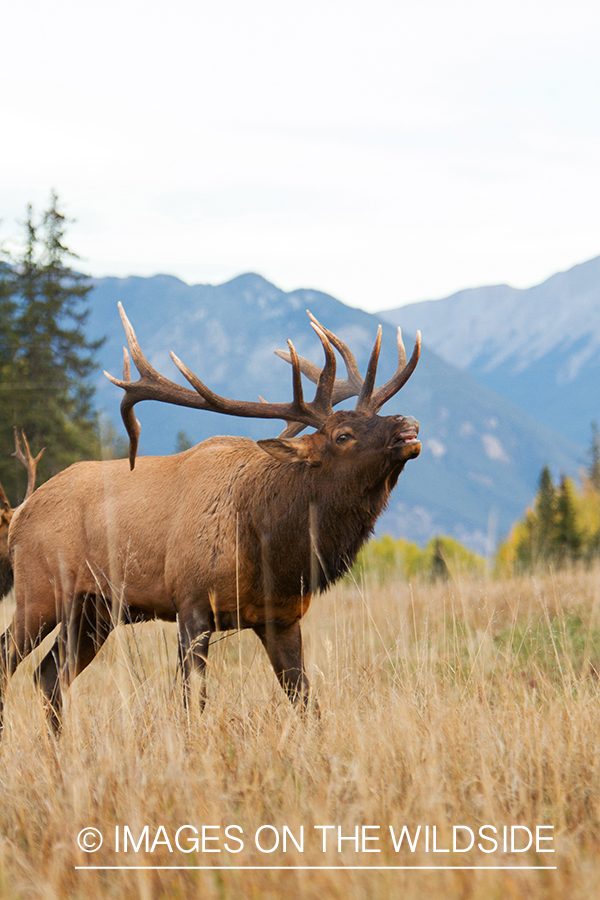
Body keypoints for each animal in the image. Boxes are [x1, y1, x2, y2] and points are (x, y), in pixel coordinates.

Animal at [1, 306, 422, 736]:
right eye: (342, 435)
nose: (407, 424)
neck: (272, 550)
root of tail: (19, 515)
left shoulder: (282, 618)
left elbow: (306, 701)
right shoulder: (192, 602)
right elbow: (192, 702)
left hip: (94, 611)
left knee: (49, 674)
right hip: (39, 592)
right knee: (10, 660)